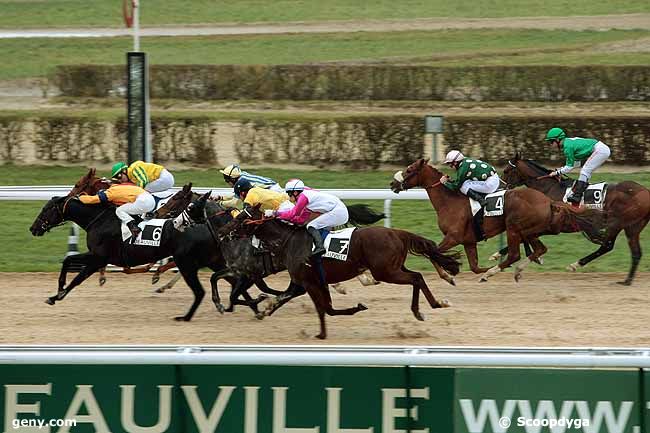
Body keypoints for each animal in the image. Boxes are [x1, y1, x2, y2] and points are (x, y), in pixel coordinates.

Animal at [215, 204, 458, 340]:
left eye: (241, 217)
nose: (221, 231)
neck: (289, 240)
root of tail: (397, 233)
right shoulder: (310, 281)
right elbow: (324, 307)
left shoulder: (309, 283)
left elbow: (324, 309)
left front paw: (322, 334)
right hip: (394, 267)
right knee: (417, 276)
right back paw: (433, 304)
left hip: (385, 272)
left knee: (416, 278)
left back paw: (426, 308)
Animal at [388, 157, 604, 282]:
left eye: (409, 170)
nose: (392, 184)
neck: (449, 201)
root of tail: (548, 200)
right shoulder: (468, 241)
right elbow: (473, 266)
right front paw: (458, 269)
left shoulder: (453, 237)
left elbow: (432, 253)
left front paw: (447, 275)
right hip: (530, 230)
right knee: (539, 249)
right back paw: (514, 269)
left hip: (514, 227)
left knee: (515, 254)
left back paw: (494, 271)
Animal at [502, 154, 648, 286]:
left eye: (506, 170)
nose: (502, 187)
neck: (549, 188)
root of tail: (646, 192)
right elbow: (523, 236)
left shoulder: (552, 225)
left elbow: (523, 236)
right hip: (632, 228)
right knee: (635, 252)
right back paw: (627, 281)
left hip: (616, 223)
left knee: (607, 245)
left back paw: (575, 264)